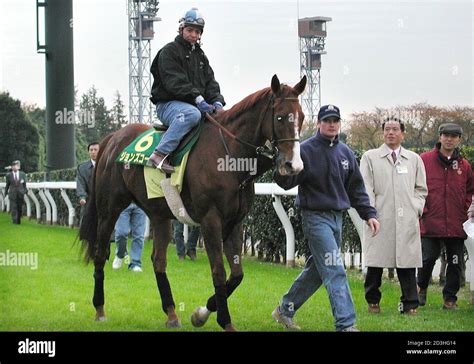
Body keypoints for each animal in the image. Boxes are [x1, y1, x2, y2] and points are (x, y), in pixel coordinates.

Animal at [79, 74, 306, 330]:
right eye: (280, 117)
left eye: (302, 117)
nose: (293, 165)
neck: (228, 157)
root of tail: (112, 139)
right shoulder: (210, 220)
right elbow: (218, 271)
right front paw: (223, 320)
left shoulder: (235, 222)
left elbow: (237, 274)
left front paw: (201, 313)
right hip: (109, 209)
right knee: (100, 253)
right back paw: (99, 309)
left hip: (159, 214)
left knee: (158, 261)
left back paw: (171, 313)